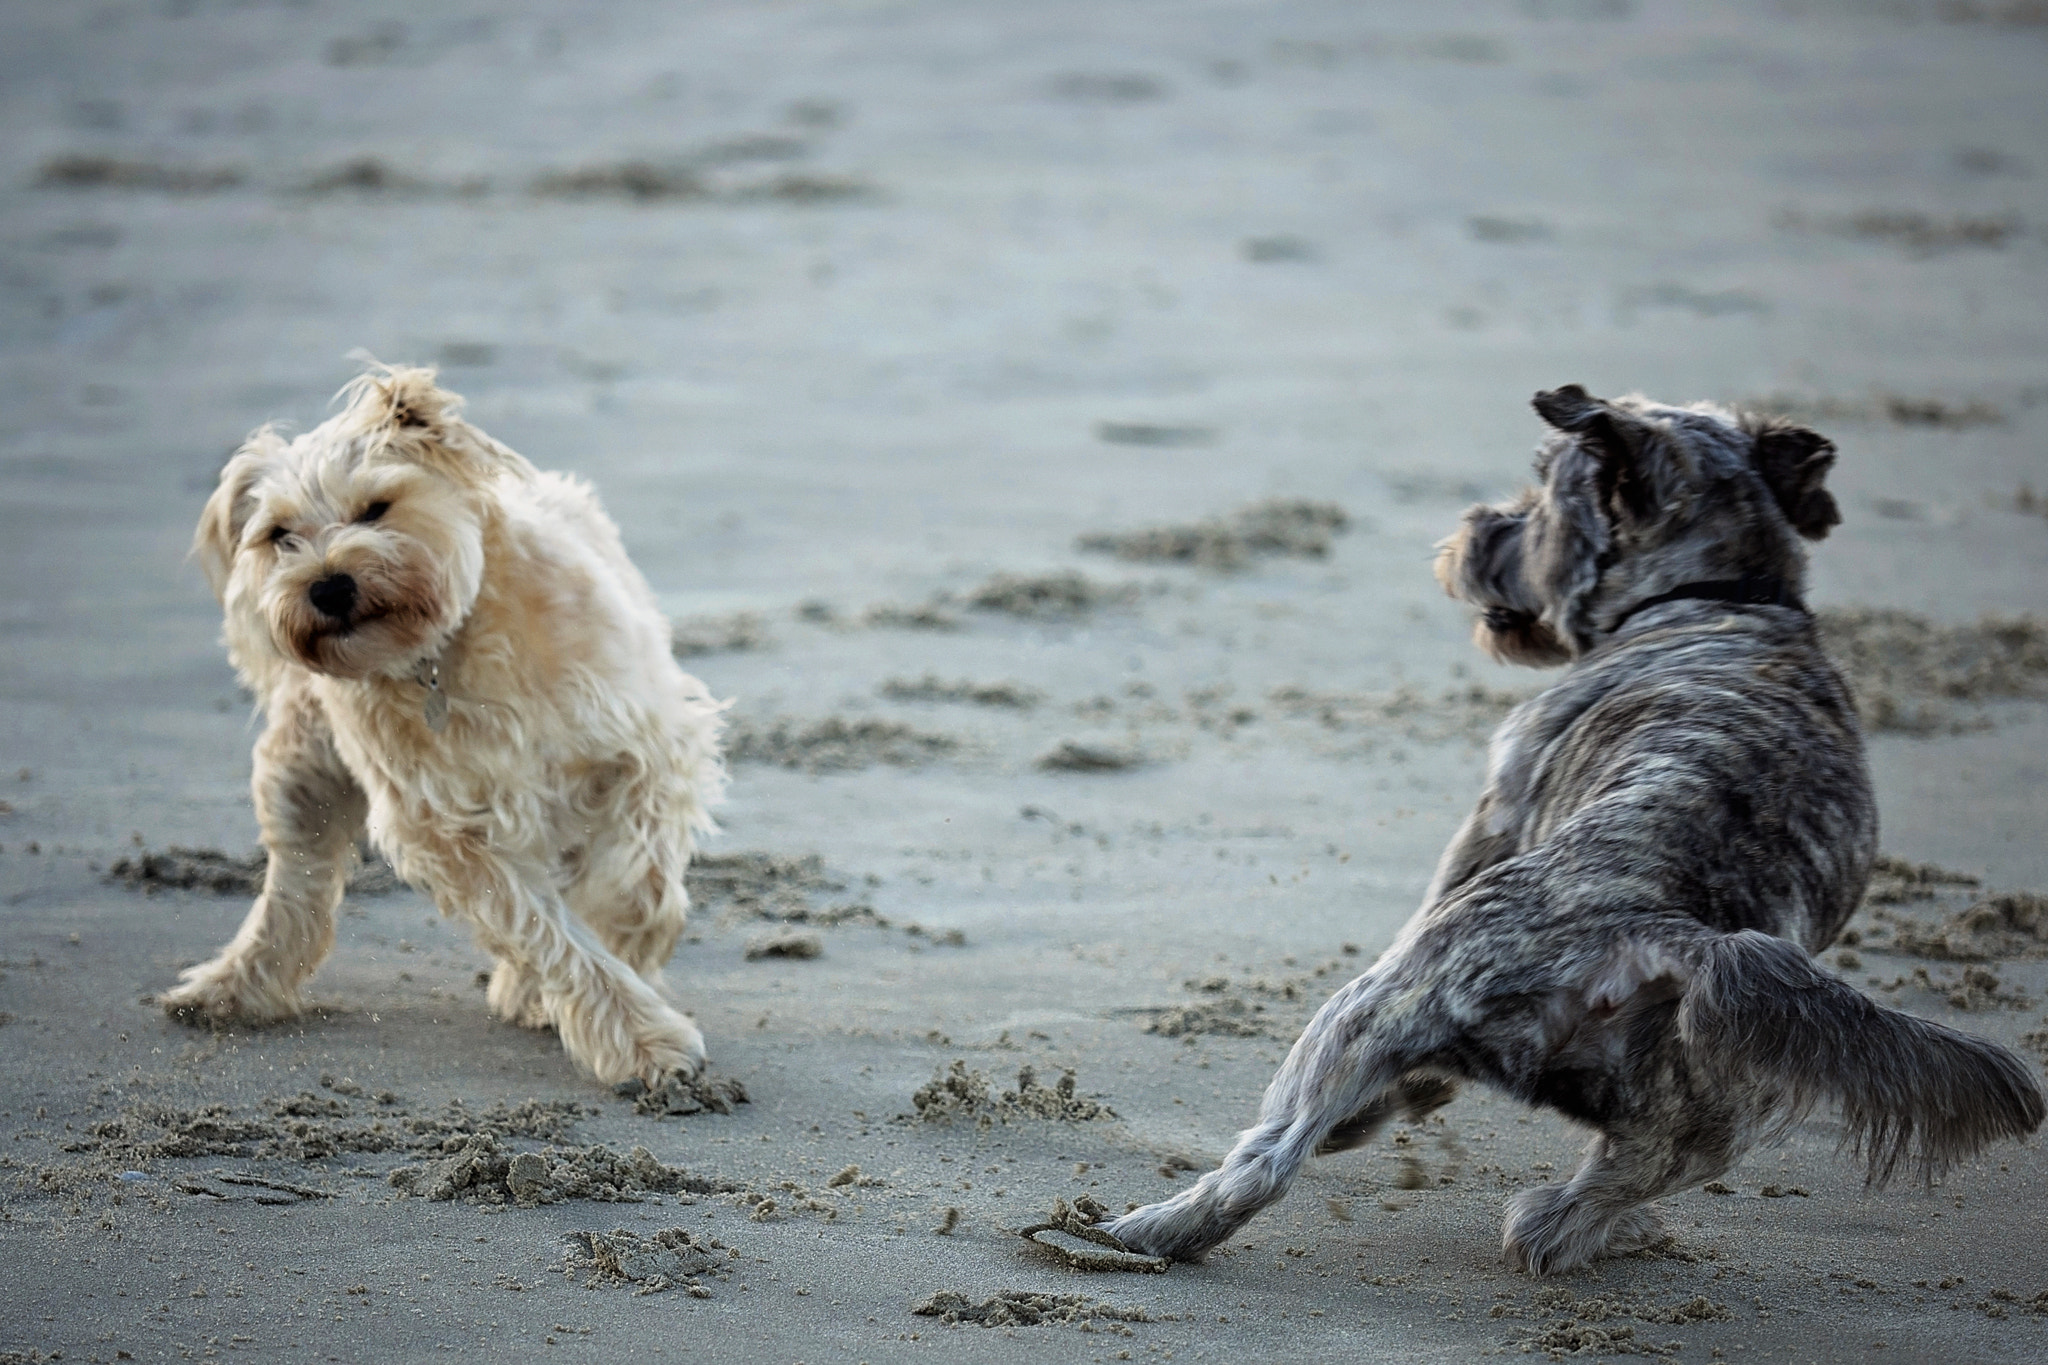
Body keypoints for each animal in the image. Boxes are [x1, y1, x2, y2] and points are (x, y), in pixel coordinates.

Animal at [169, 362, 729, 1088]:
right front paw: (639, 1037)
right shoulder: (450, 829)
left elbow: (639, 886)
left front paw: (628, 952)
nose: (327, 585)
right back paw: (234, 986)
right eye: (278, 535)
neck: (441, 654)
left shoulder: (646, 743)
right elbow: (545, 930)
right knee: (297, 882)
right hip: (301, 771)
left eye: (376, 508)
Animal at [1114, 386, 2039, 1285]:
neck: (1724, 594)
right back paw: (1590, 1225)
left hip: (1371, 1007)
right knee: (1589, 1202)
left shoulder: (1496, 808)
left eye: (1541, 496)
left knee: (1267, 1160)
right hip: (1710, 1115)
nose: (1473, 531)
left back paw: (1154, 1227)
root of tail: (1665, 935)